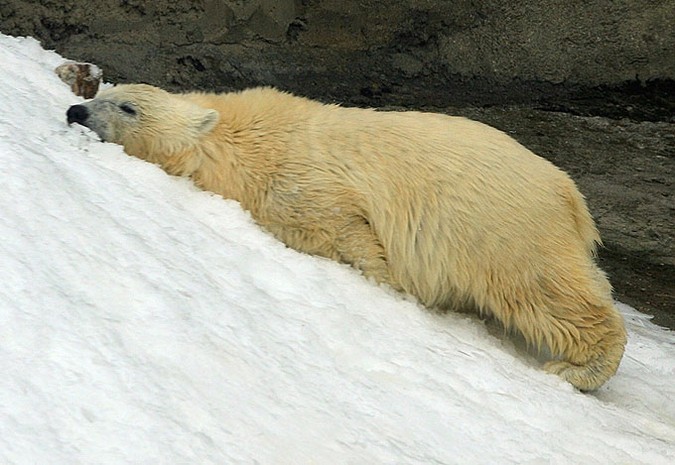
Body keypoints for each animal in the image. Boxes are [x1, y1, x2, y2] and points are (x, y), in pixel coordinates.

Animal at [67, 83, 628, 388]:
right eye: (106, 93)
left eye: (129, 107)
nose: (76, 110)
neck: (235, 138)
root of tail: (570, 194)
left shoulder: (301, 179)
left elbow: (346, 229)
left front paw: (388, 283)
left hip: (500, 227)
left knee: (547, 291)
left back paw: (576, 369)